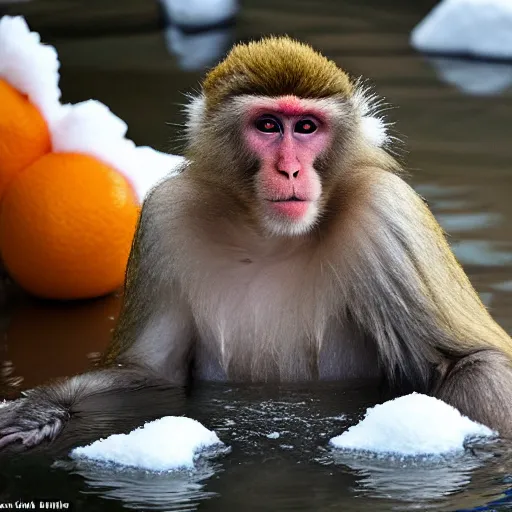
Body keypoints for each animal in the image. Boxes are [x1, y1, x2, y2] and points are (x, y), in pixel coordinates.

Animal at [1, 35, 512, 448]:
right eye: (268, 125)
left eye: (305, 127)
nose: (290, 170)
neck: (271, 236)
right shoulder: (164, 218)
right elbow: (150, 374)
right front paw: (40, 406)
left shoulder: (387, 212)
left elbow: (476, 359)